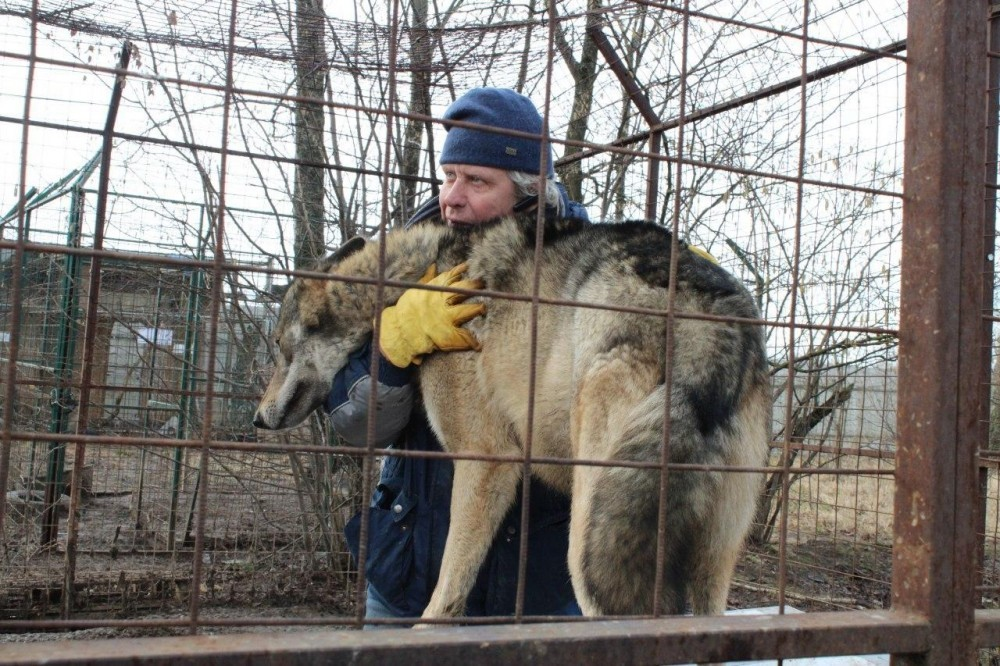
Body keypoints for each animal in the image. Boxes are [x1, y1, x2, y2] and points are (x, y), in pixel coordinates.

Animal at [254, 213, 768, 616]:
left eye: (278, 347)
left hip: (590, 548)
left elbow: (446, 591)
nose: (257, 419)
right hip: (713, 561)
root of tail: (709, 325)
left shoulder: (485, 457)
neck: (425, 273)